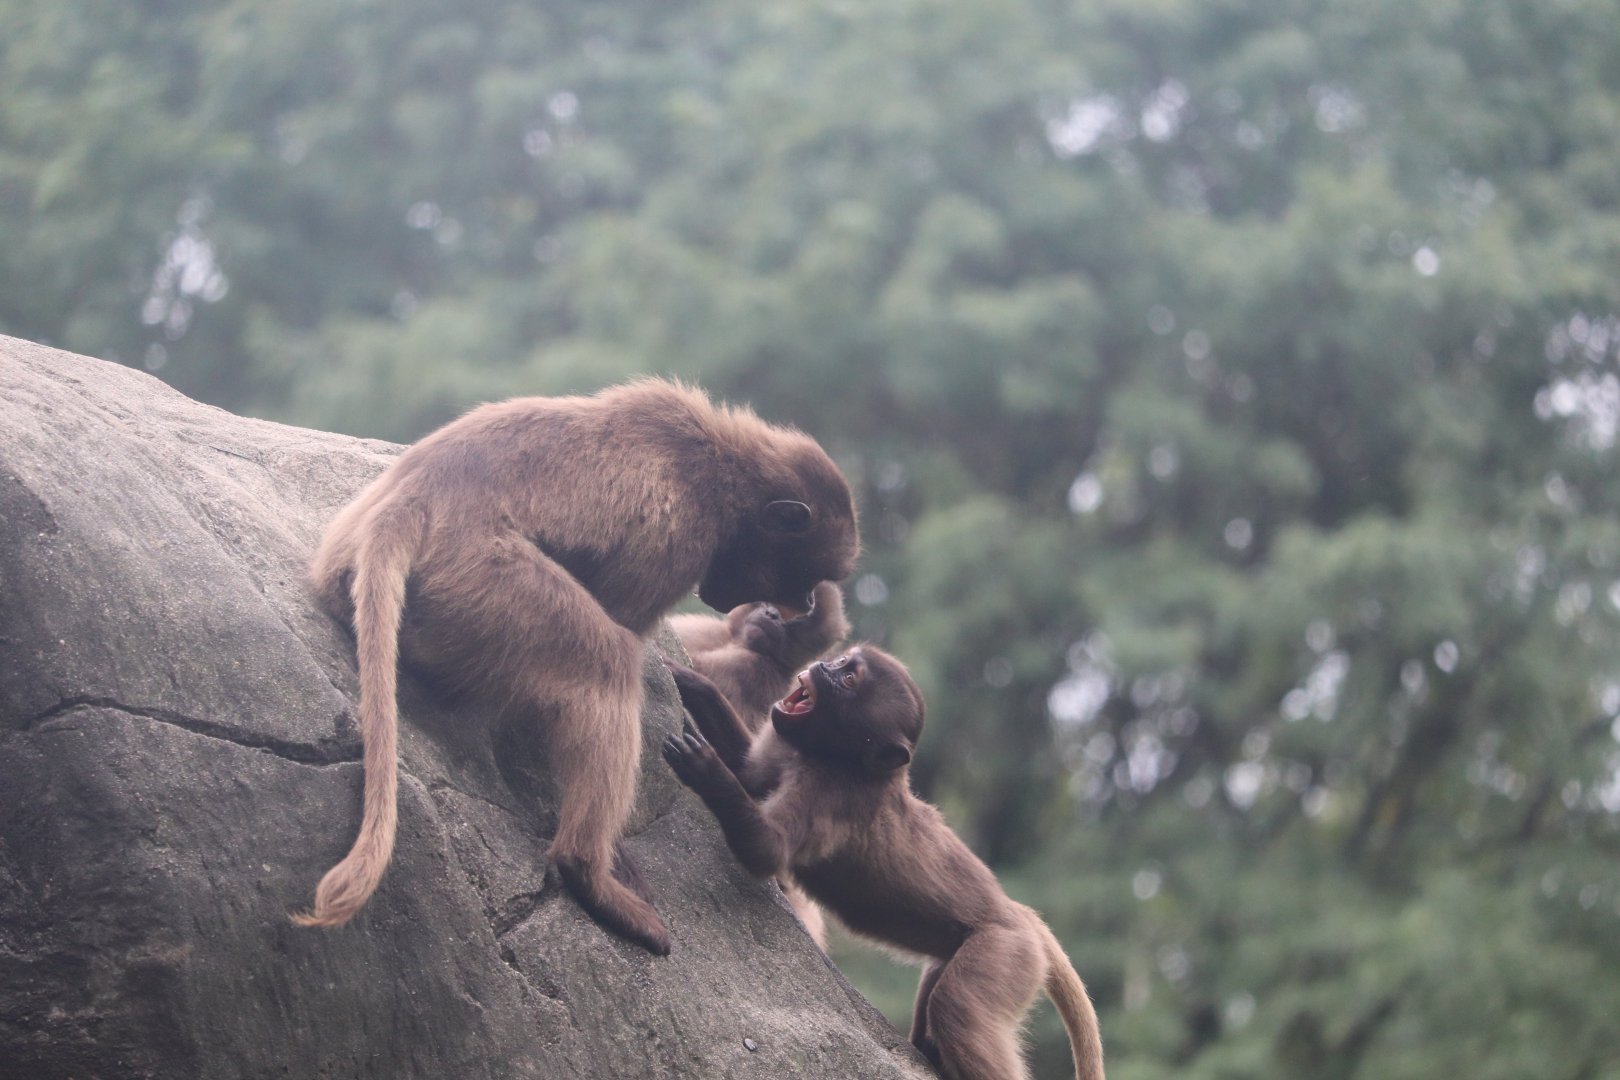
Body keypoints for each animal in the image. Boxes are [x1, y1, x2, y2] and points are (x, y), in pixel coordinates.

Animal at [663, 647, 1104, 1080]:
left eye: (848, 679)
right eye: (844, 661)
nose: (822, 665)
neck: (845, 762)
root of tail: (1018, 913)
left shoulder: (830, 793)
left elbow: (767, 850)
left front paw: (705, 770)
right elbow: (749, 774)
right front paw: (686, 678)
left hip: (1006, 950)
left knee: (956, 1008)